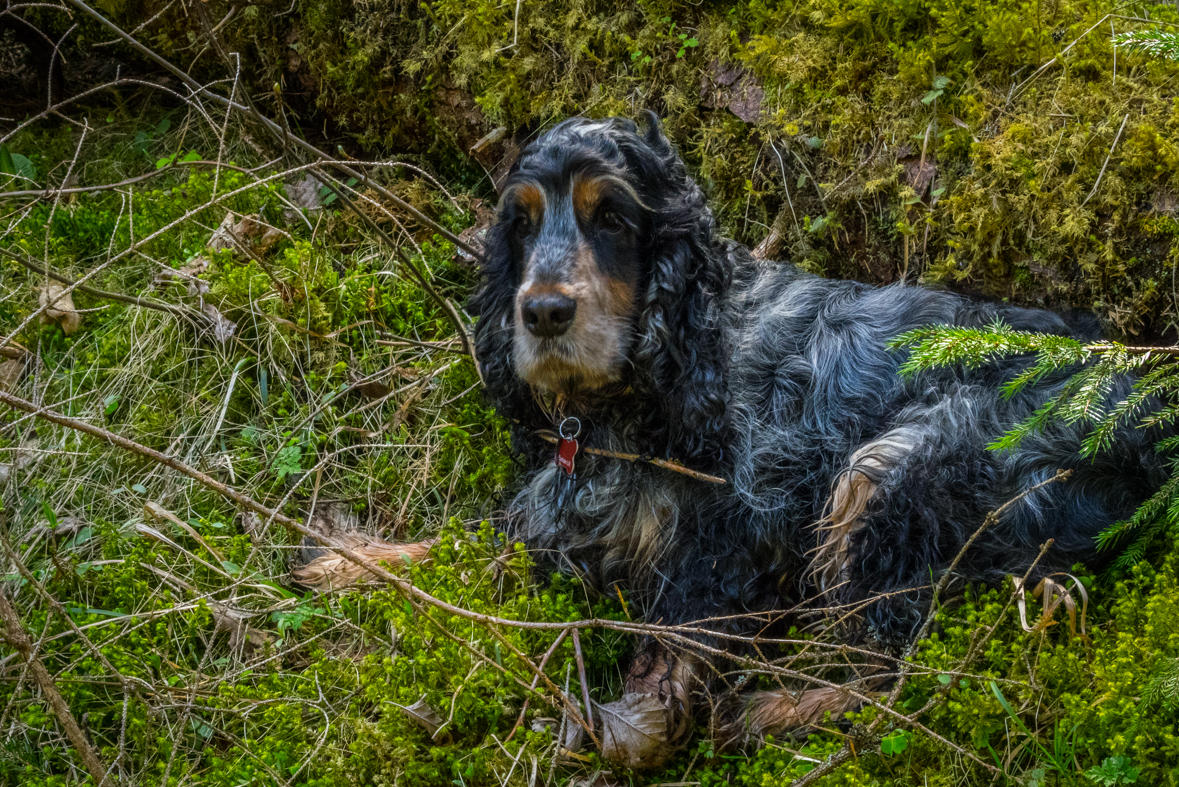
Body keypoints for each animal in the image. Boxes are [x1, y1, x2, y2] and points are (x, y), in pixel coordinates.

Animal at [297, 113, 1169, 763]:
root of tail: (1146, 400)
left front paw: (621, 725)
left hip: (894, 468)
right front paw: (348, 561)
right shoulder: (562, 516)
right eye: (520, 222)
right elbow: (464, 543)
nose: (541, 312)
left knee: (898, 676)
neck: (627, 403)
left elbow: (672, 650)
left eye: (611, 216)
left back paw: (763, 712)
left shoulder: (733, 534)